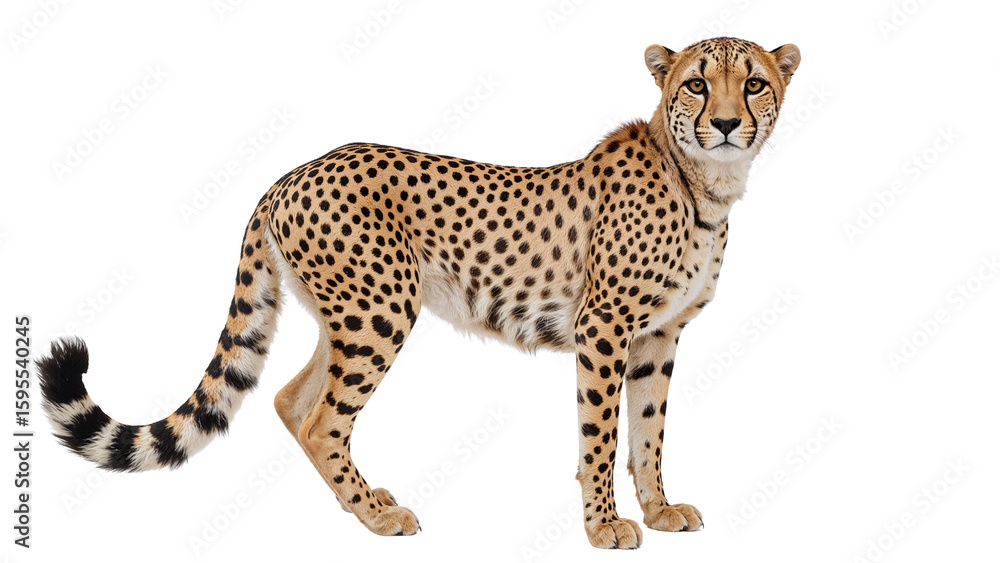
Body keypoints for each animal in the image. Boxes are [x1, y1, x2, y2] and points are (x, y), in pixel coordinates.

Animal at [38, 37, 800, 549]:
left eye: (753, 83)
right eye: (697, 84)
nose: (726, 123)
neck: (704, 184)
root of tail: (293, 171)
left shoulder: (658, 335)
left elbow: (649, 430)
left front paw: (660, 509)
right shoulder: (603, 329)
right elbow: (601, 436)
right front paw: (604, 526)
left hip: (351, 315)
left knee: (291, 399)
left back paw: (360, 502)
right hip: (379, 312)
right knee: (322, 417)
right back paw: (378, 517)